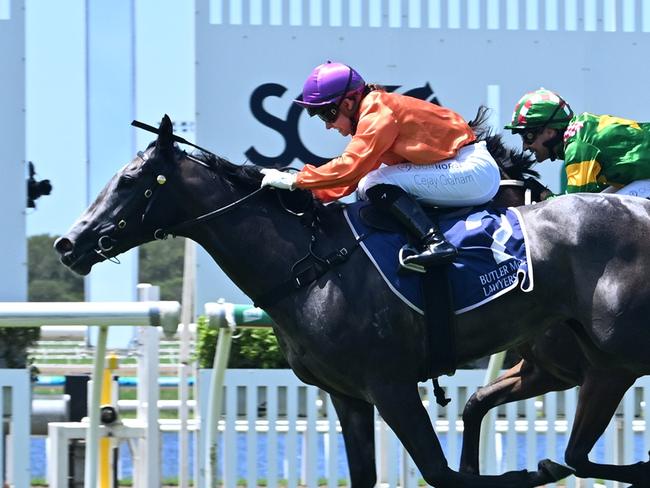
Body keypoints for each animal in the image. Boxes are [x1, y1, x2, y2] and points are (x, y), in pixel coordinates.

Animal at [54, 116, 648, 486]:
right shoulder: (348, 395)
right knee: (567, 447)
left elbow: (441, 473)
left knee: (576, 449)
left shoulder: (391, 385)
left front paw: (522, 472)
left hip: (614, 360)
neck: (311, 264)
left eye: (132, 180)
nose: (68, 243)